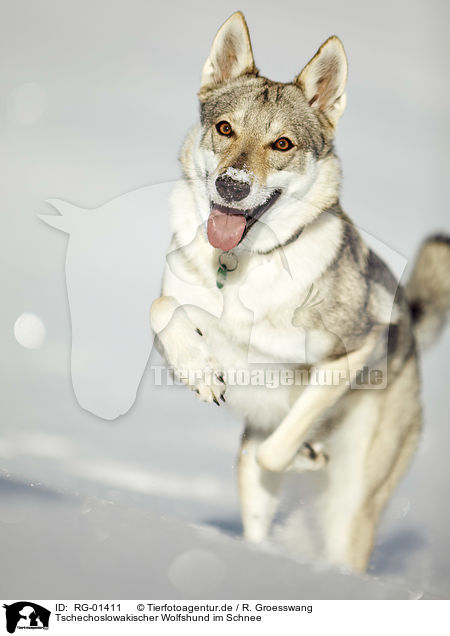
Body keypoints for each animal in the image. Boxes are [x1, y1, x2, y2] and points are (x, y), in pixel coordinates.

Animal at [151, 12, 450, 572]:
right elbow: (163, 310)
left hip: (353, 505)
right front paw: (200, 374)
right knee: (256, 513)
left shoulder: (350, 350)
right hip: (250, 480)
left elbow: (280, 446)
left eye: (283, 144)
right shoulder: (198, 317)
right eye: (225, 128)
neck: (243, 264)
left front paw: (305, 452)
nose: (231, 186)